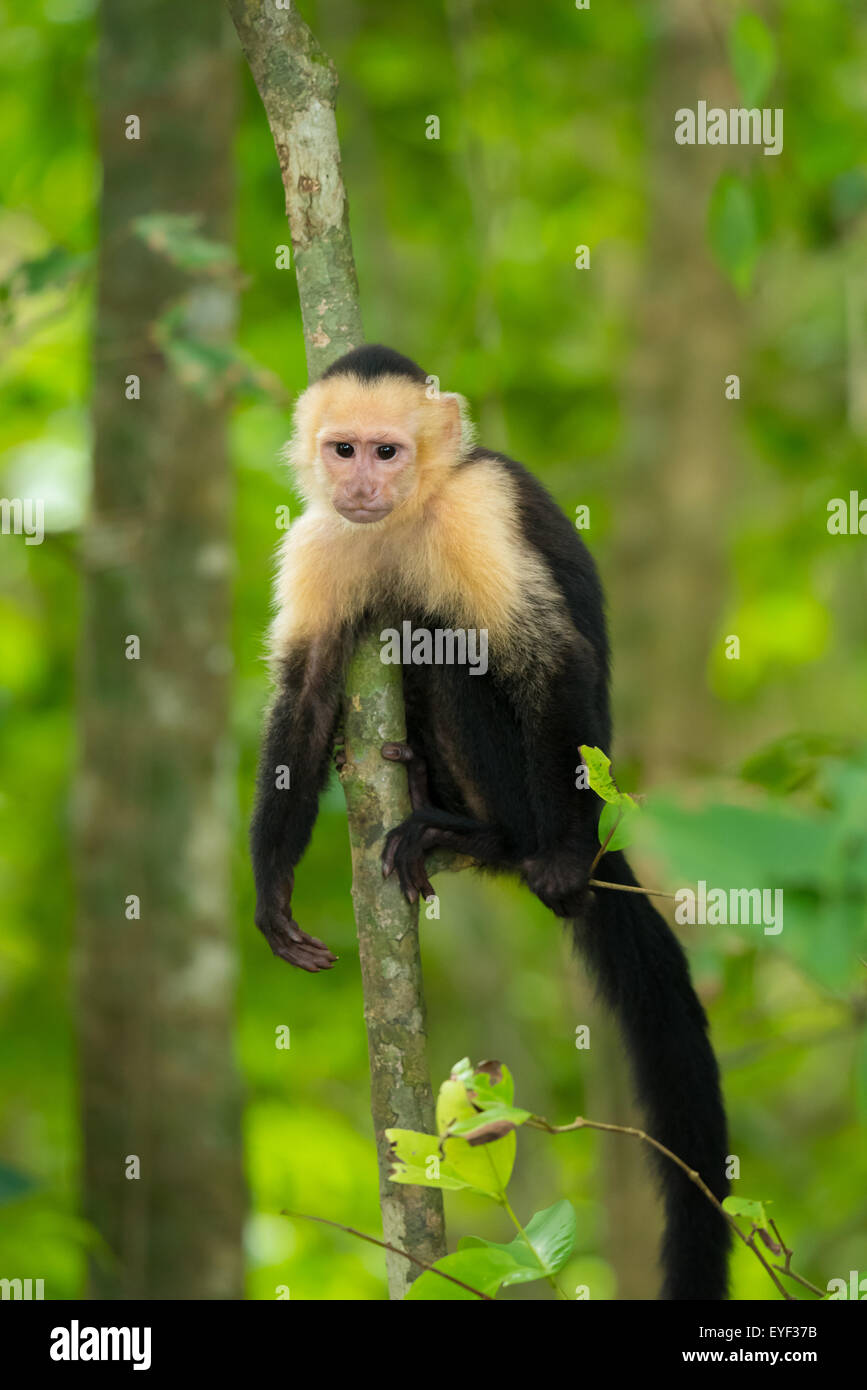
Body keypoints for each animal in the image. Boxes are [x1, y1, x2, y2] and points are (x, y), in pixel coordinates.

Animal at [251, 343, 730, 1301]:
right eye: (342, 449)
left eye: (387, 451)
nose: (361, 483)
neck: (408, 513)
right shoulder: (321, 538)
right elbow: (306, 698)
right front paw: (272, 888)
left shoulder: (478, 511)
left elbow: (547, 660)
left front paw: (558, 863)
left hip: (548, 792)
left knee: (448, 640)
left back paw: (503, 843)